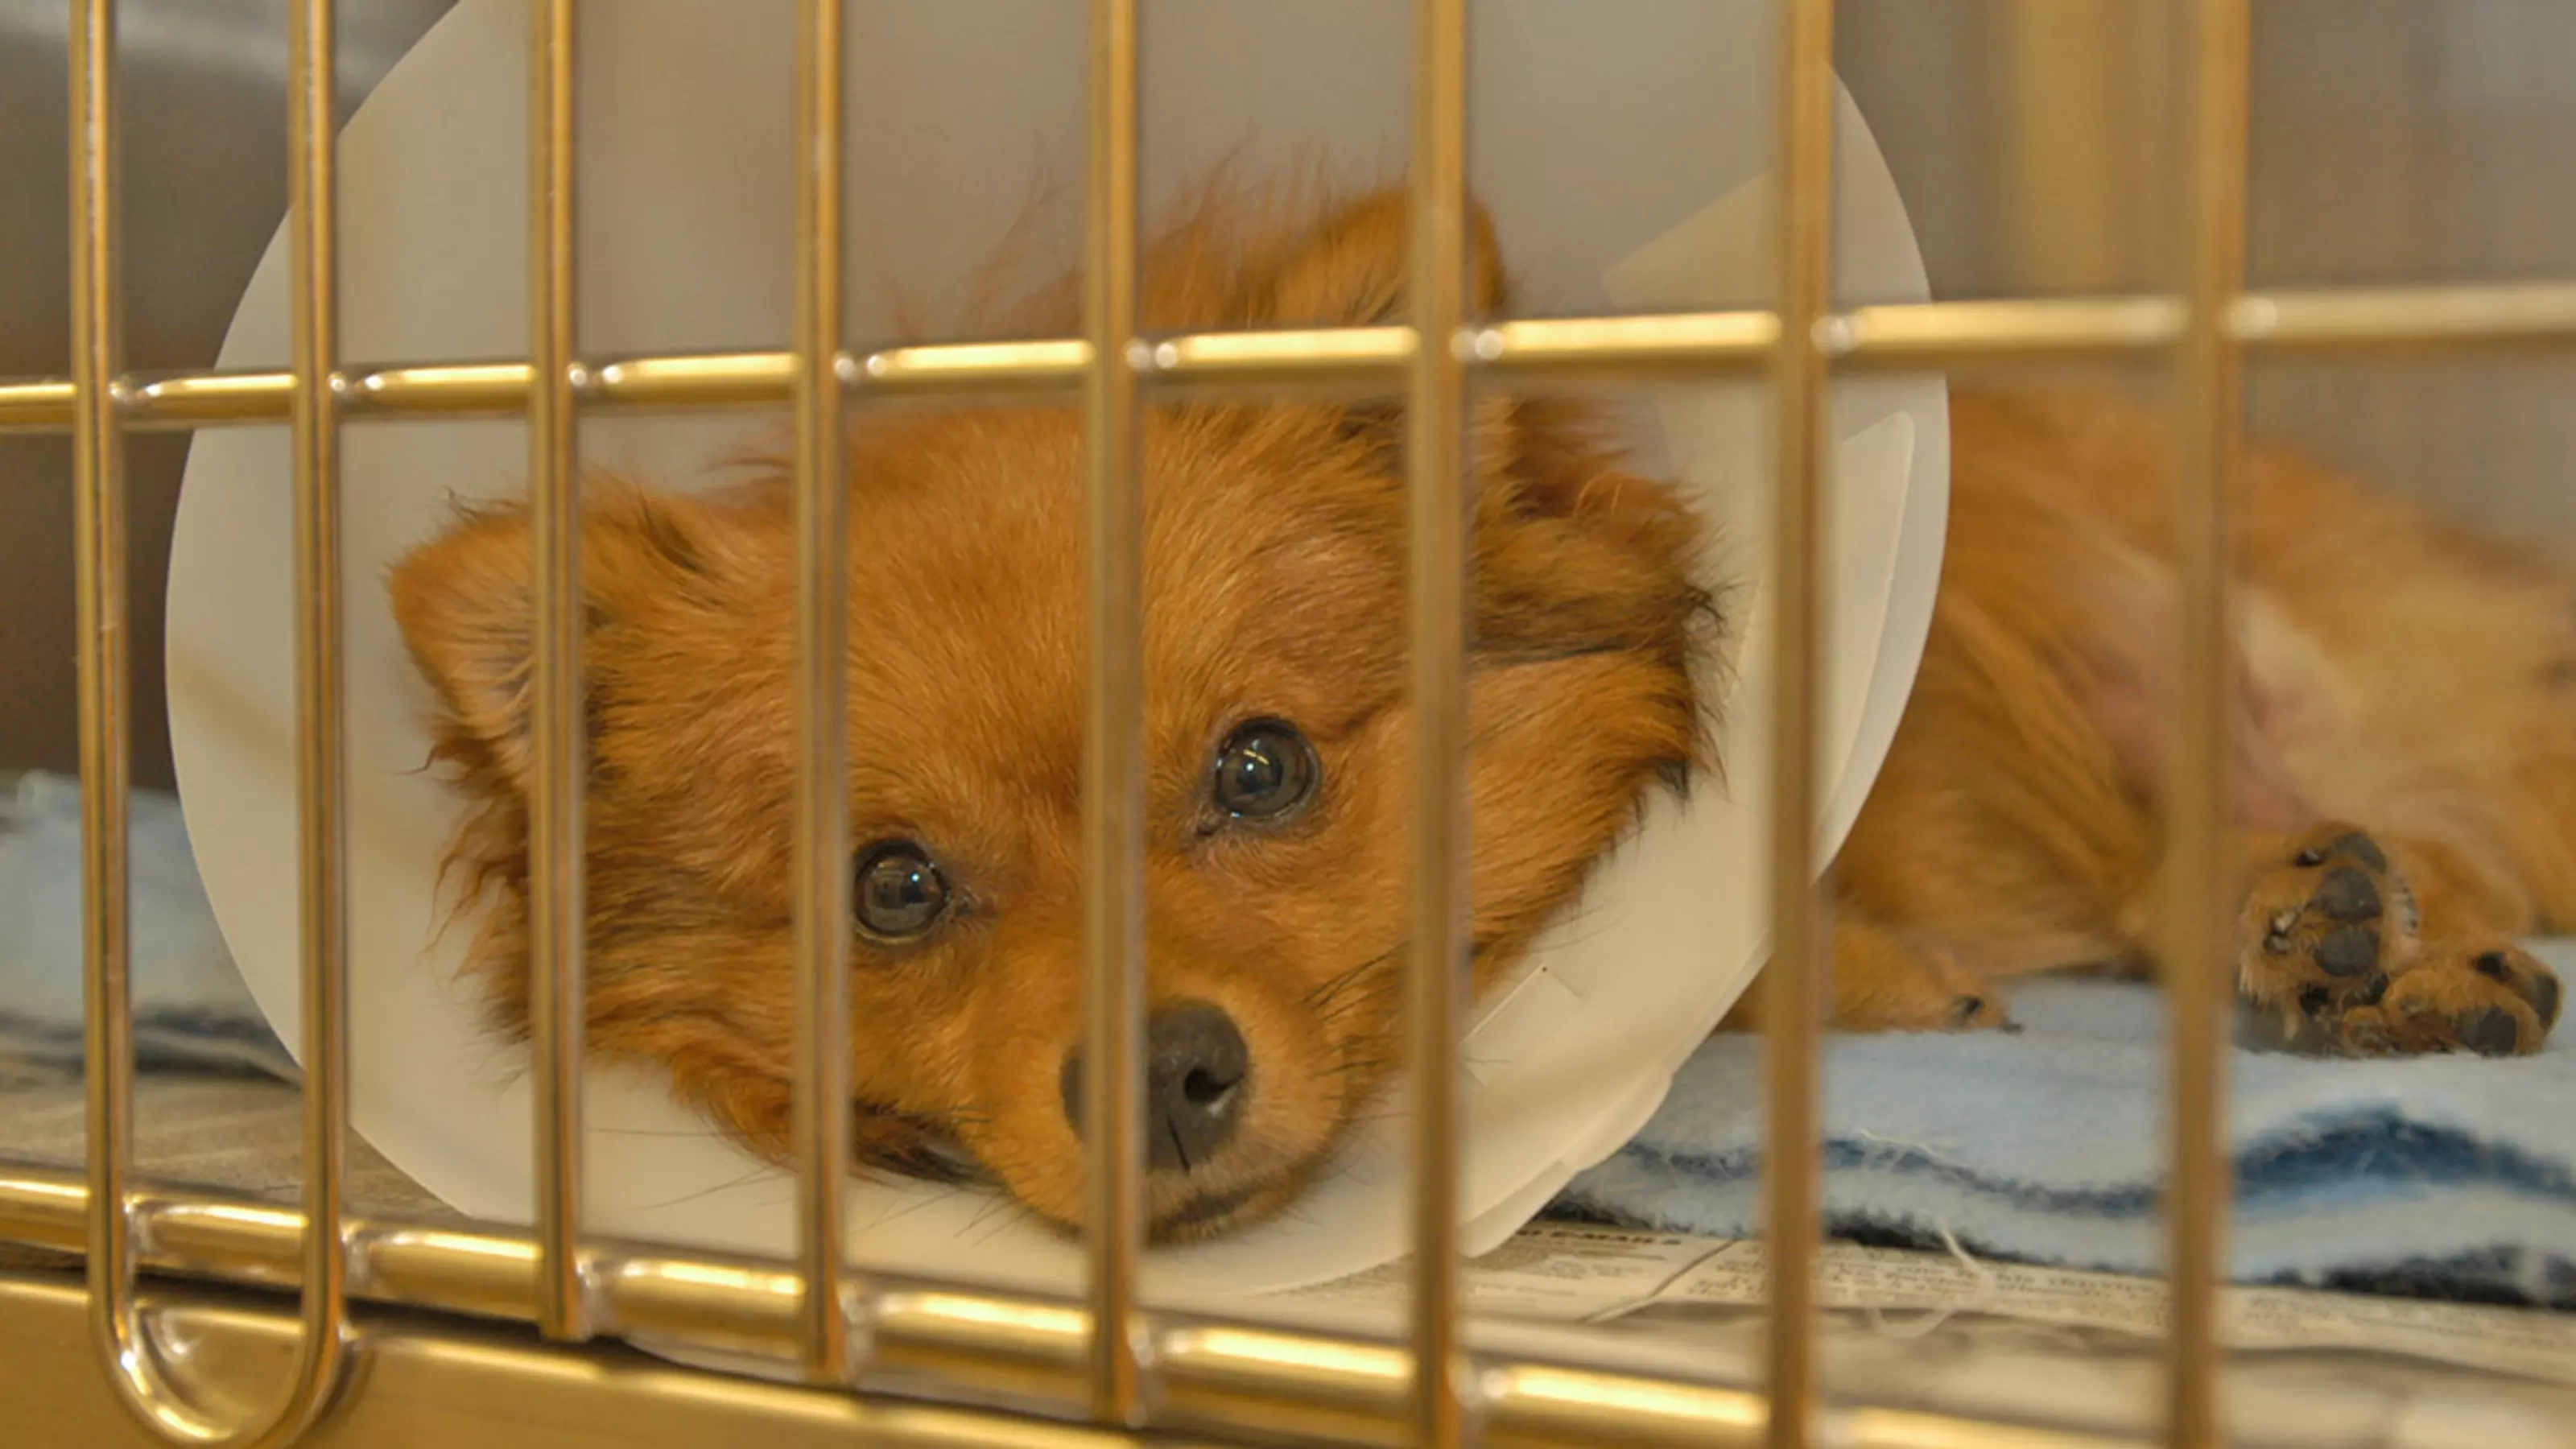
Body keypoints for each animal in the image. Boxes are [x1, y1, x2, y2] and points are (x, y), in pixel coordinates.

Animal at [391, 177, 2566, 1242]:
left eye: (1261, 768)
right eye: (894, 890)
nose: (1162, 1071)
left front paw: (1874, 970)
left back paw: (2352, 937)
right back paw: (2339, 934)